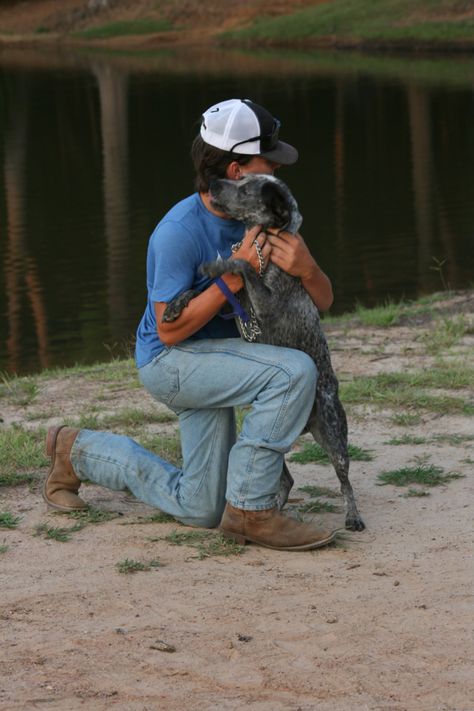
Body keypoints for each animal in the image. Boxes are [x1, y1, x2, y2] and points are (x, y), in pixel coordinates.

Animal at [164, 174, 366, 536]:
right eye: (238, 179)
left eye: (245, 189)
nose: (214, 182)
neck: (267, 246)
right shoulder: (235, 299)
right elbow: (204, 287)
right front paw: (176, 304)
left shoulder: (266, 301)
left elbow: (242, 263)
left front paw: (222, 263)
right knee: (285, 478)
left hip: (333, 435)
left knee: (345, 481)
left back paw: (352, 517)